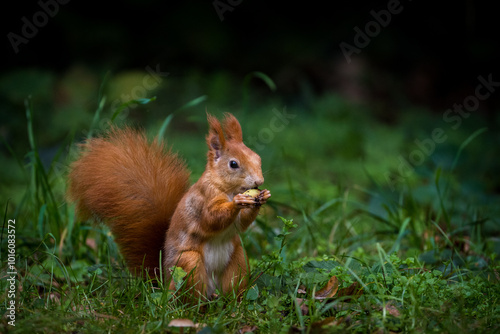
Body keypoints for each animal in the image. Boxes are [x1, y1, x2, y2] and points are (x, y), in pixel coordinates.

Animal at [68, 113, 272, 298]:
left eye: (258, 158)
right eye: (233, 164)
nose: (259, 181)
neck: (227, 188)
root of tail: (164, 282)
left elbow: (241, 224)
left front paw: (263, 197)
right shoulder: (203, 198)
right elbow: (211, 218)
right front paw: (238, 202)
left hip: (238, 260)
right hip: (189, 264)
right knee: (189, 298)